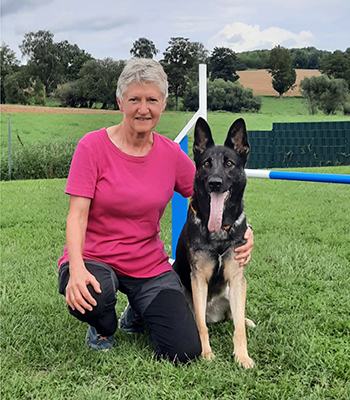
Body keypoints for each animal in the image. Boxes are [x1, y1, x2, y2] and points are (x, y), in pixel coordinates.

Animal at [174, 116, 256, 368]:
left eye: (229, 163)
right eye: (206, 164)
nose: (215, 183)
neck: (219, 230)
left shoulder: (237, 277)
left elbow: (238, 328)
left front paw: (242, 356)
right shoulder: (198, 279)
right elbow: (200, 325)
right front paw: (206, 353)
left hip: (234, 290)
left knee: (235, 316)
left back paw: (247, 320)